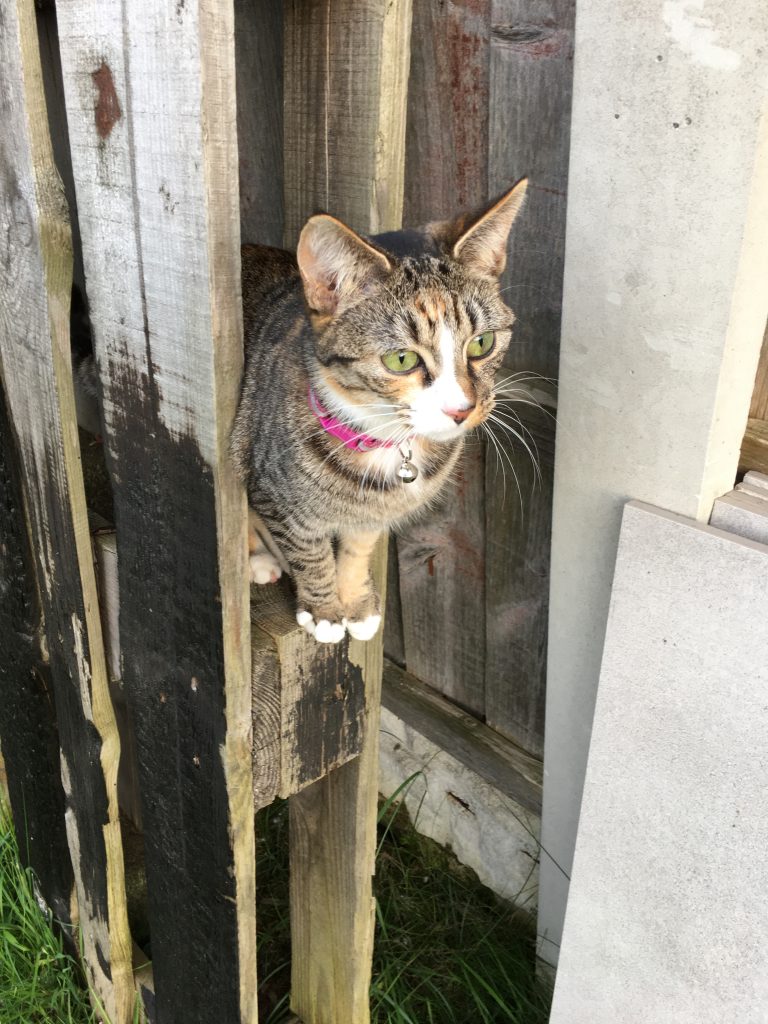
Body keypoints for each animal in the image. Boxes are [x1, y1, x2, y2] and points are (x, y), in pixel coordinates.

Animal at [230, 178, 528, 644]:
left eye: (482, 343)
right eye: (401, 359)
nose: (461, 409)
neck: (383, 437)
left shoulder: (377, 508)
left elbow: (359, 544)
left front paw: (355, 600)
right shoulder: (271, 487)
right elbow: (307, 547)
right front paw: (325, 611)